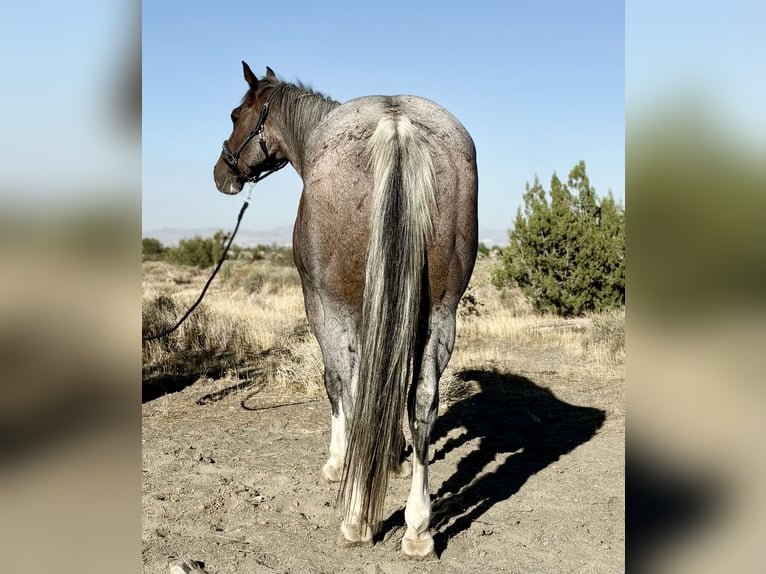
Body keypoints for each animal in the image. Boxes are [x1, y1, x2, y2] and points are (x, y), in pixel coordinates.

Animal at [213, 62, 478, 558]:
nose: (222, 172)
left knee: (353, 389)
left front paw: (339, 462)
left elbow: (336, 384)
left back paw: (357, 516)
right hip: (440, 315)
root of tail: (397, 126)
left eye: (237, 114)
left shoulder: (320, 306)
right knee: (422, 402)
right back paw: (417, 528)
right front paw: (391, 457)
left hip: (339, 310)